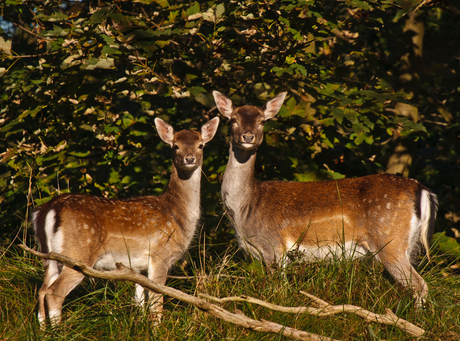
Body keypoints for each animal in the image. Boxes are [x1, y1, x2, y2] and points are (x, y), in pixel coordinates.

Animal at [31, 116, 219, 324]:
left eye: (201, 145)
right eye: (175, 146)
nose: (189, 158)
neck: (178, 214)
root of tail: (48, 209)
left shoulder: (139, 269)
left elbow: (140, 303)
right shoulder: (161, 255)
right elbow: (156, 304)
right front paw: (157, 328)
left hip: (49, 256)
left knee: (42, 290)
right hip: (77, 255)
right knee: (54, 292)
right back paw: (60, 329)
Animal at [214, 90, 436, 306]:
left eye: (262, 121)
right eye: (233, 120)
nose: (248, 136)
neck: (246, 208)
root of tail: (422, 190)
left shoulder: (273, 246)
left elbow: (278, 292)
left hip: (389, 240)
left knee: (420, 284)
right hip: (409, 244)